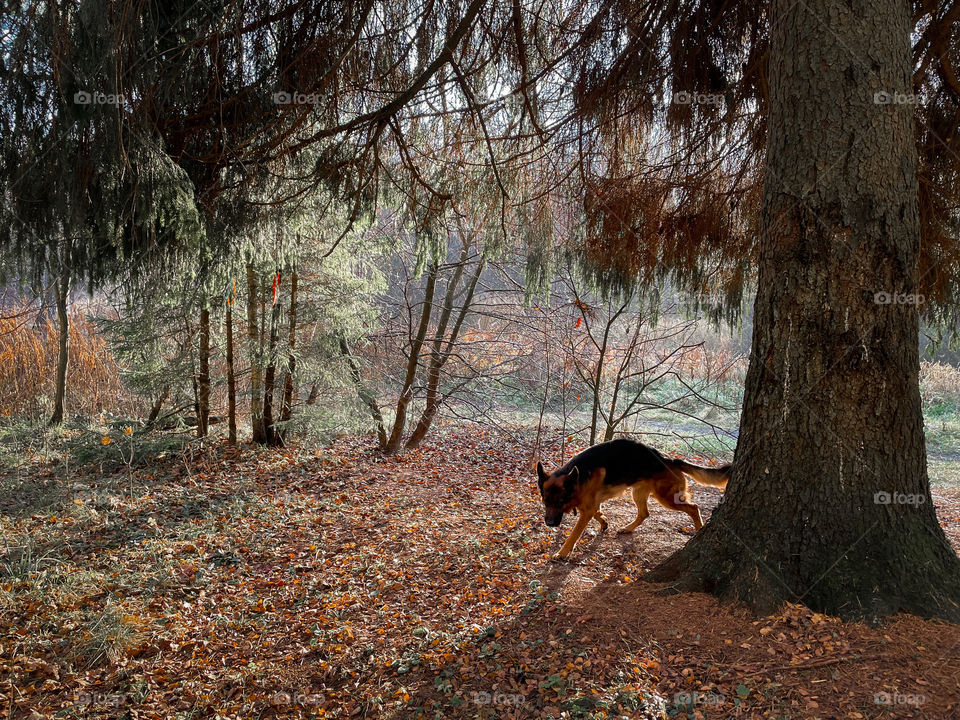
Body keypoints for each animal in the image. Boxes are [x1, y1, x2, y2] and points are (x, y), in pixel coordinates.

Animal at [536, 436, 732, 560]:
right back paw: (627, 529)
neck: (579, 475)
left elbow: (574, 534)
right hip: (638, 493)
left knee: (694, 508)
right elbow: (598, 511)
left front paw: (562, 553)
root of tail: (669, 459)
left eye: (560, 502)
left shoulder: (587, 509)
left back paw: (699, 529)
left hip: (667, 498)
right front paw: (604, 522)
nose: (550, 524)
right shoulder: (591, 504)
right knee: (644, 514)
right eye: (546, 502)